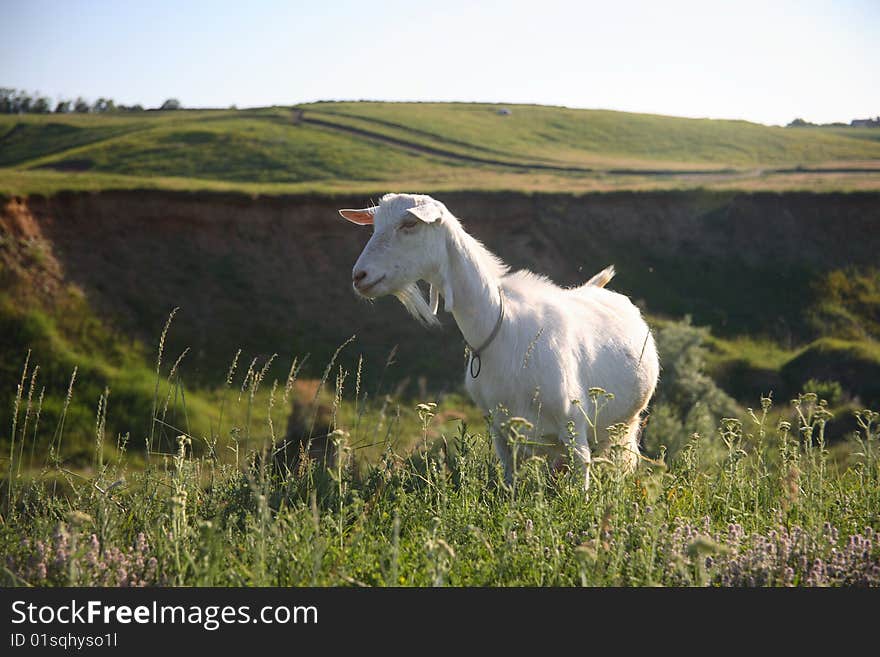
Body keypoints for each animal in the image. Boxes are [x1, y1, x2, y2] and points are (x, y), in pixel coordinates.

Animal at [340, 192, 656, 484]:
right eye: (374, 225)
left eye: (409, 224)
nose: (359, 276)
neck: (500, 327)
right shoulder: (502, 434)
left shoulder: (574, 429)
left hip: (624, 425)